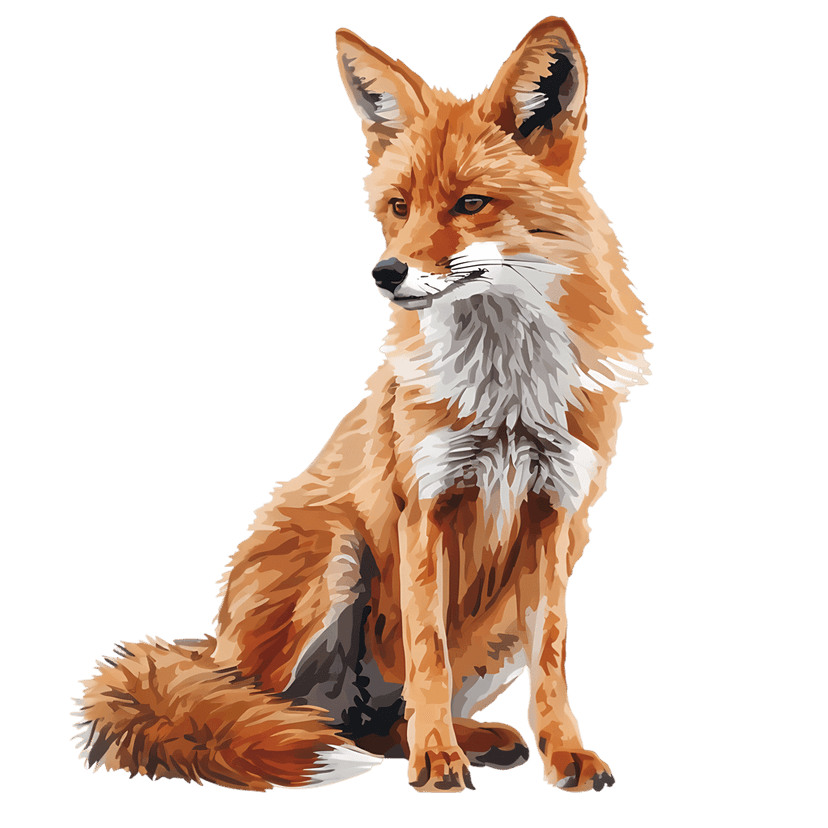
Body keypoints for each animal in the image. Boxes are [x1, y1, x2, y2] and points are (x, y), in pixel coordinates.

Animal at [72, 17, 650, 793]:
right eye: (398, 207)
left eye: (471, 204)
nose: (386, 272)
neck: (505, 391)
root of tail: (208, 646)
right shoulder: (425, 504)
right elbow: (428, 648)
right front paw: (439, 757)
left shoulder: (559, 510)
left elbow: (551, 657)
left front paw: (565, 753)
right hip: (332, 555)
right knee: (255, 709)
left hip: (496, 622)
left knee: (375, 724)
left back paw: (469, 738)